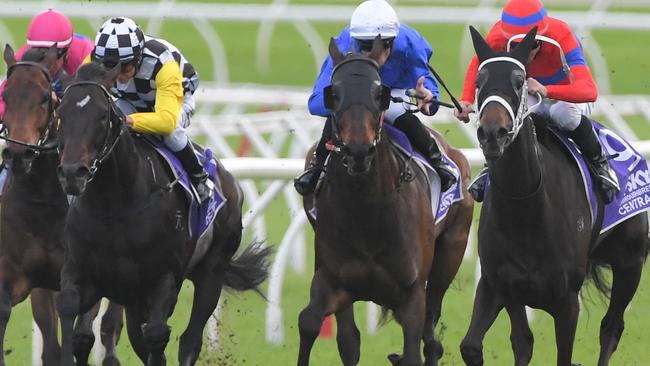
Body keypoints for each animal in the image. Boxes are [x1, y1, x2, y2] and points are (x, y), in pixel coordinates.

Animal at [0, 44, 123, 364]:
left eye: (46, 98)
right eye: (6, 96)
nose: (18, 155)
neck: (40, 201)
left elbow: (80, 335)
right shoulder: (19, 277)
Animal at [53, 61, 270, 364]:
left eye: (102, 115)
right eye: (60, 113)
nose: (73, 173)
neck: (114, 207)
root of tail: (230, 180)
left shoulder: (163, 280)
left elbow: (156, 335)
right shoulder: (84, 273)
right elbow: (73, 319)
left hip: (211, 270)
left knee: (189, 339)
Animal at [298, 38, 470, 366]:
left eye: (380, 94)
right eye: (333, 93)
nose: (359, 151)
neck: (367, 212)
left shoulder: (412, 294)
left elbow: (415, 348)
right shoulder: (331, 280)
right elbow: (311, 323)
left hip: (450, 253)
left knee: (432, 338)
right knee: (349, 339)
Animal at [458, 26, 644, 366]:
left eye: (520, 81)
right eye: (479, 82)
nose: (492, 133)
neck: (524, 208)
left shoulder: (567, 300)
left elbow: (564, 355)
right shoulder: (500, 284)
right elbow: (492, 344)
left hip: (630, 262)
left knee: (611, 328)